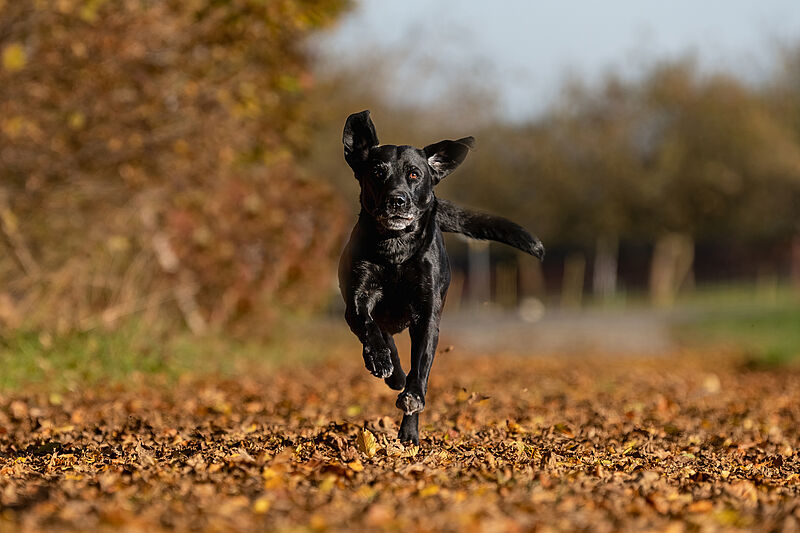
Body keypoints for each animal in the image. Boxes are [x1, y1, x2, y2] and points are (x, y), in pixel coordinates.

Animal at [338, 111, 544, 444]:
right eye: (378, 173)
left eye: (413, 175)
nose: (397, 200)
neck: (396, 250)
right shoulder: (358, 299)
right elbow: (368, 326)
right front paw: (381, 360)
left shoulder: (427, 313)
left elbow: (421, 367)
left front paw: (412, 399)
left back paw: (408, 431)